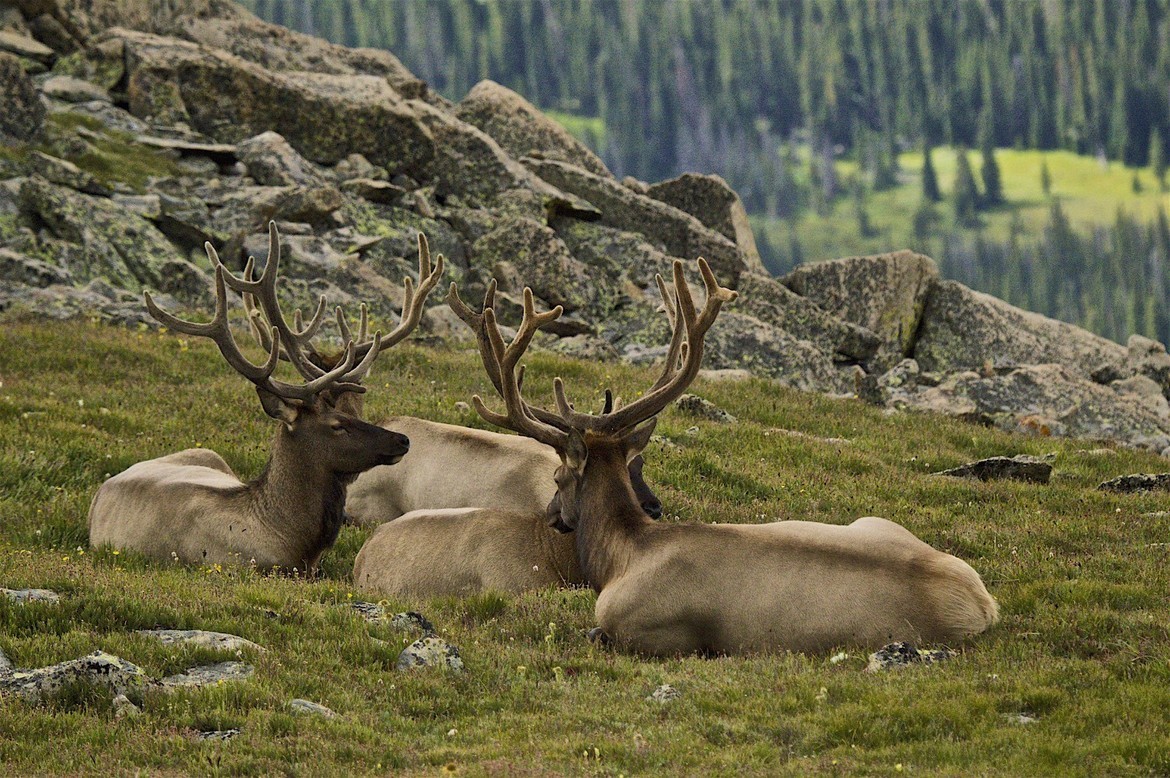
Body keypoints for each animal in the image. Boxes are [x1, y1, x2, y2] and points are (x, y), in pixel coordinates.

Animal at [449, 260, 1000, 656]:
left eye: (559, 476)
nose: (550, 515)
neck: (623, 556)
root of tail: (985, 605)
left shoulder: (640, 629)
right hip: (873, 521)